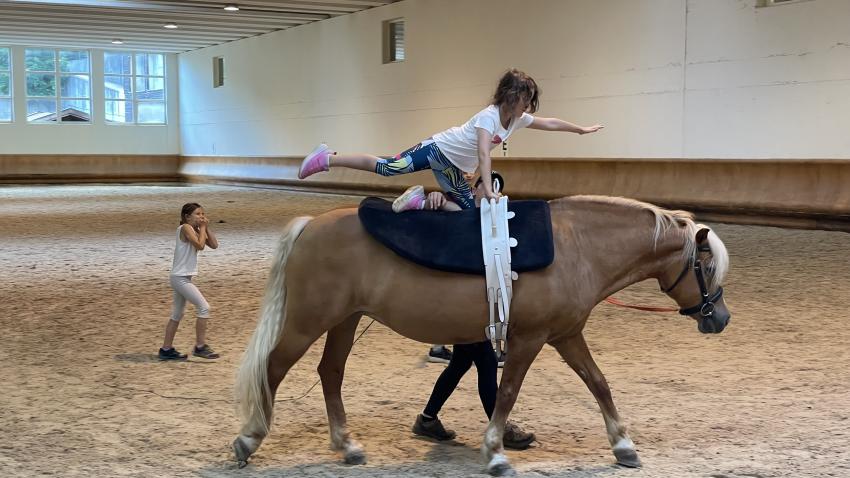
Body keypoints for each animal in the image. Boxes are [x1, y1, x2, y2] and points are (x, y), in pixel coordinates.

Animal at [232, 194, 728, 474]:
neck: (578, 247)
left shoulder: (566, 335)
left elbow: (599, 384)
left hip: (345, 320)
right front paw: (496, 453)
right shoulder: (529, 340)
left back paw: (348, 445)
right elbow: (506, 392)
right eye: (704, 267)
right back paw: (249, 438)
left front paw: (624, 446)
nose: (720, 317)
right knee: (274, 369)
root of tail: (309, 226)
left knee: (330, 373)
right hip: (309, 321)